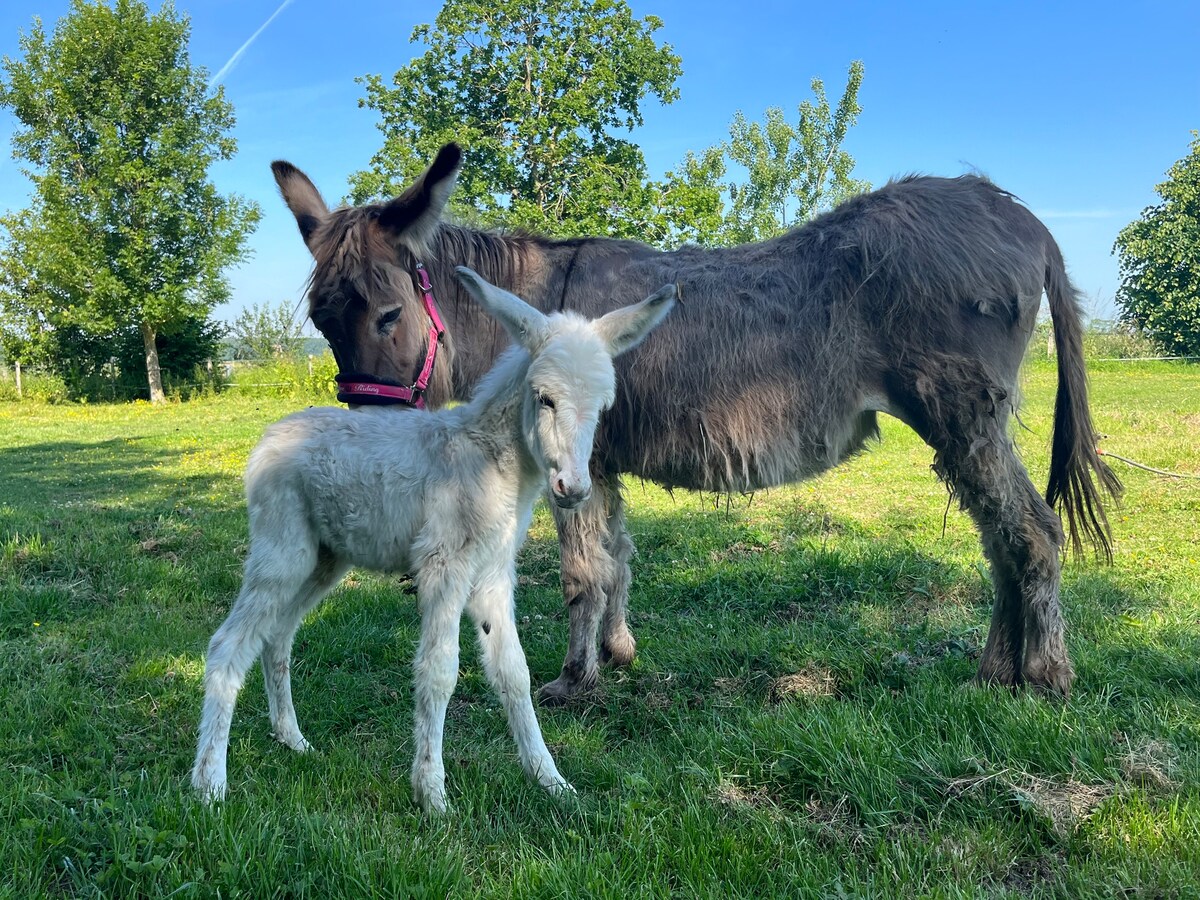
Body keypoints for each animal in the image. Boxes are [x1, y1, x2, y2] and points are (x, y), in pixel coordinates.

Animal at [192, 267, 672, 811]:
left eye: (602, 406)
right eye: (545, 398)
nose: (573, 488)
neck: (491, 461)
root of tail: (269, 437)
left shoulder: (493, 572)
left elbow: (513, 672)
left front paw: (551, 781)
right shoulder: (444, 565)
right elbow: (439, 671)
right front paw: (433, 794)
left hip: (325, 558)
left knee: (276, 636)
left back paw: (292, 740)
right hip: (282, 548)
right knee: (228, 644)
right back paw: (209, 784)